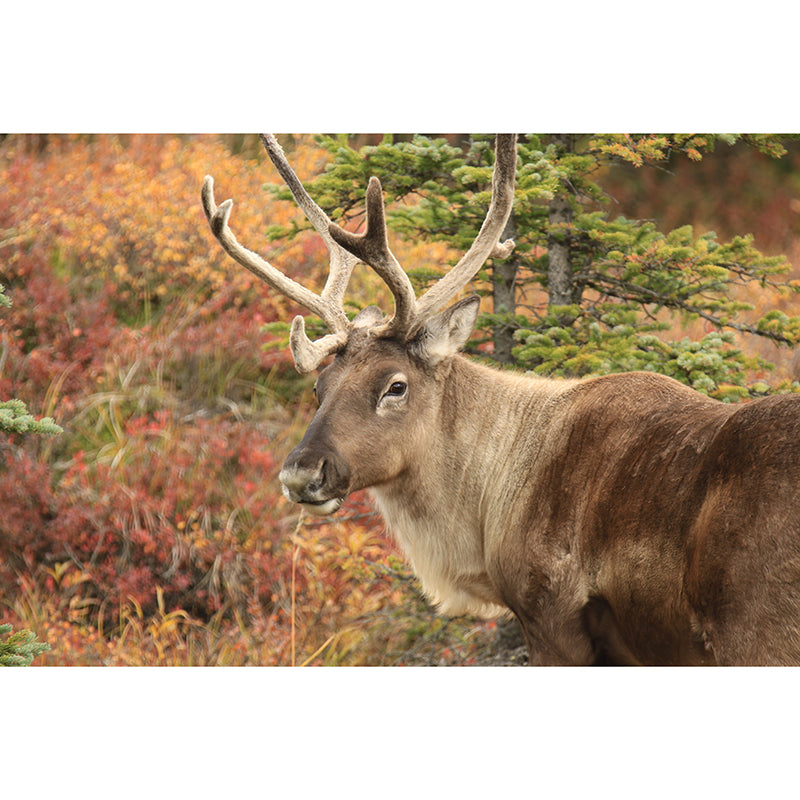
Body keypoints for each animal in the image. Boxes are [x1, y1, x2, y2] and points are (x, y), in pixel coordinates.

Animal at [202, 134, 800, 665]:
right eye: (319, 386)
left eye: (395, 385)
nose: (300, 474)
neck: (487, 508)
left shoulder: (552, 619)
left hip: (756, 633)